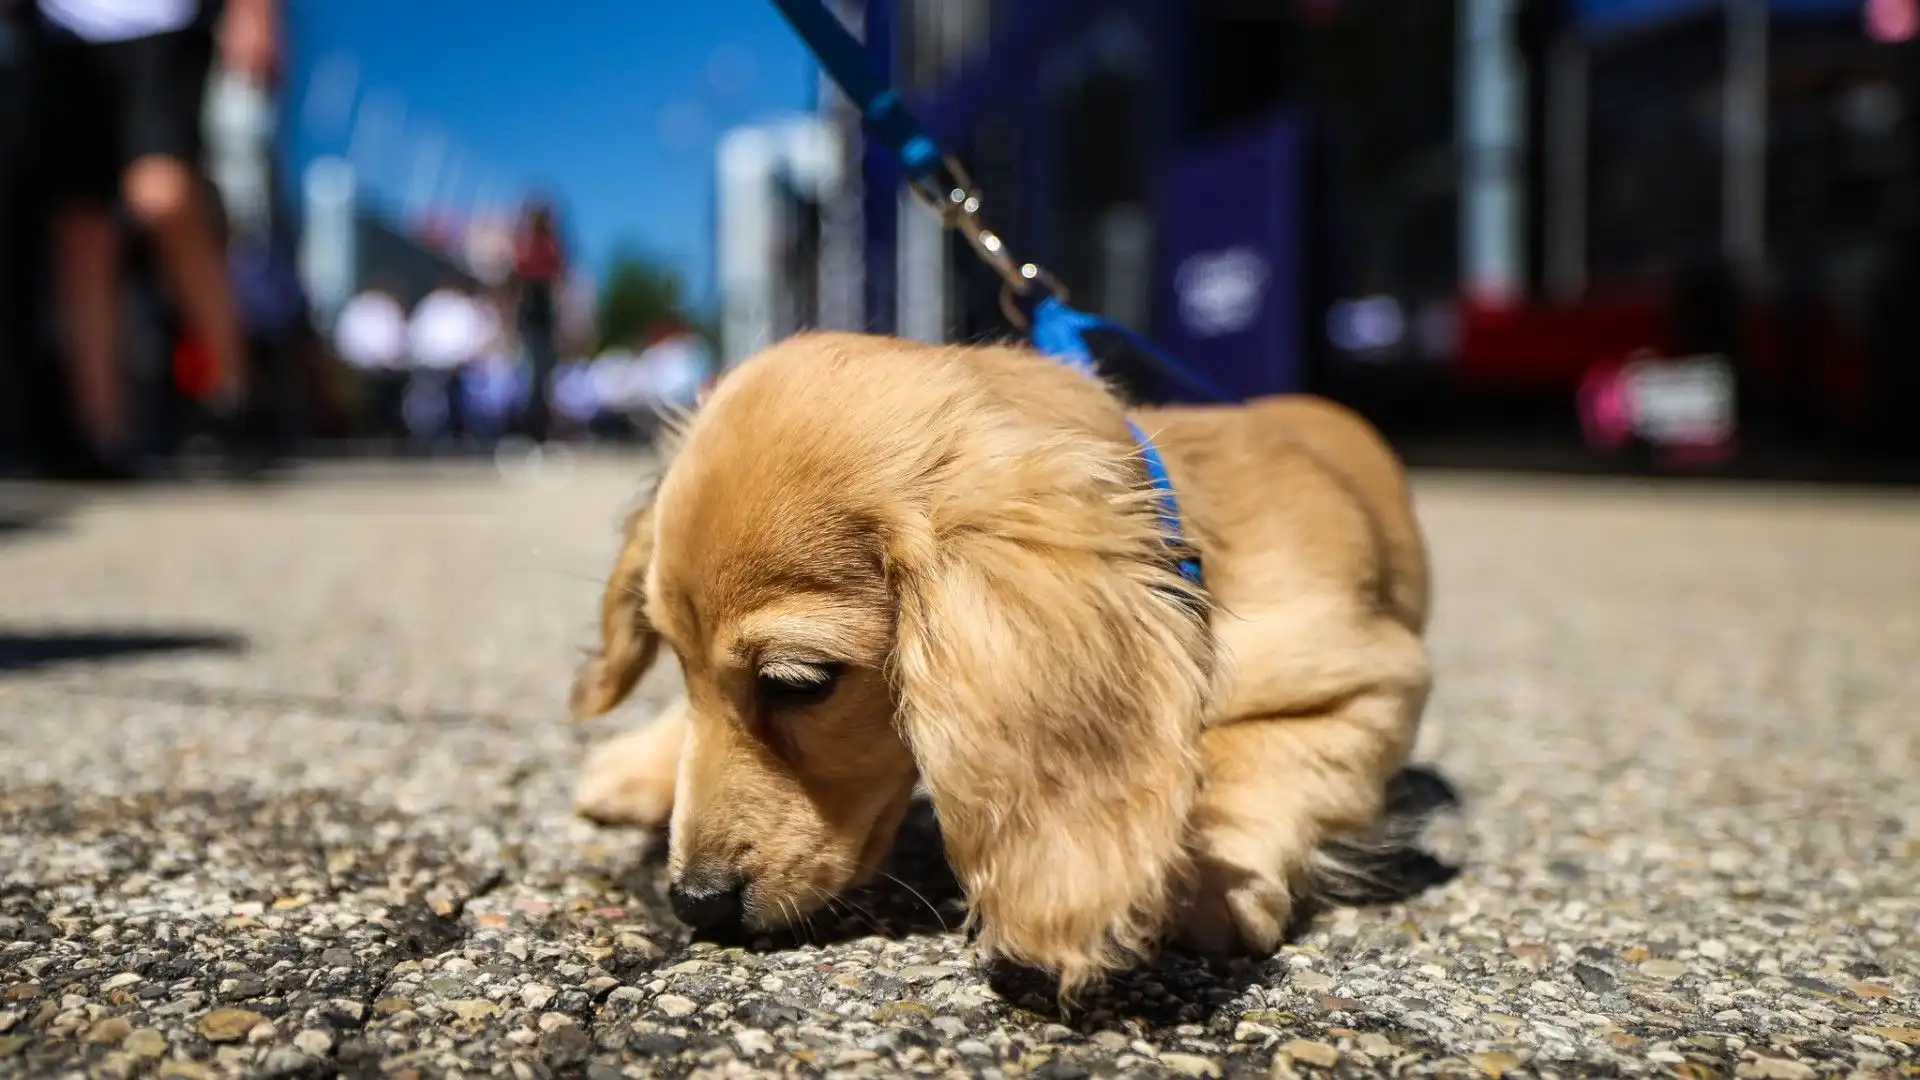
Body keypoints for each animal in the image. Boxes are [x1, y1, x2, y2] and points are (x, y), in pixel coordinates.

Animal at [568, 330, 1443, 991]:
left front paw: (1211, 870)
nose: (695, 903)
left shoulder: (1377, 674)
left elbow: (1255, 752)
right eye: (676, 662)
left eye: (800, 684)